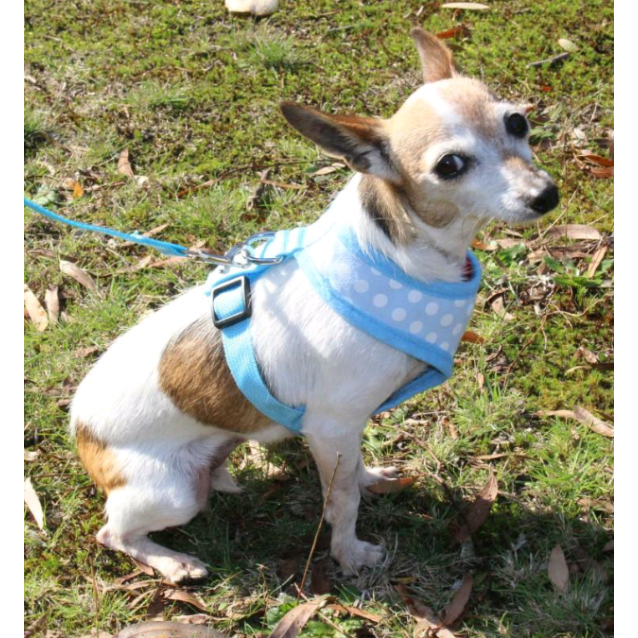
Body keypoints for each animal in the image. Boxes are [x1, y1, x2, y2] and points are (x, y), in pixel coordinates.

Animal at [71, 28, 560, 584]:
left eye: (517, 122)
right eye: (449, 166)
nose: (546, 195)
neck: (401, 253)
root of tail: (78, 427)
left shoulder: (344, 430)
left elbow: (351, 474)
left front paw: (370, 479)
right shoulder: (330, 427)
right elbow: (341, 501)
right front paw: (349, 554)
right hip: (172, 493)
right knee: (114, 534)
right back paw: (173, 562)